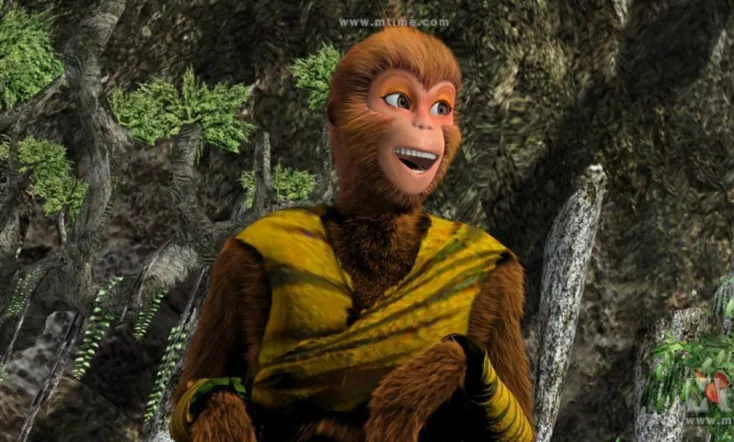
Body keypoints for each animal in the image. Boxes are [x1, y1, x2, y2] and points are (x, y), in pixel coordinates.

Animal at [168, 25, 535, 442]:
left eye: (441, 109)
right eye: (399, 101)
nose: (427, 126)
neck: (379, 217)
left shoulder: (501, 280)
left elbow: (518, 421)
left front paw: (419, 380)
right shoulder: (238, 259)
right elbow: (200, 389)